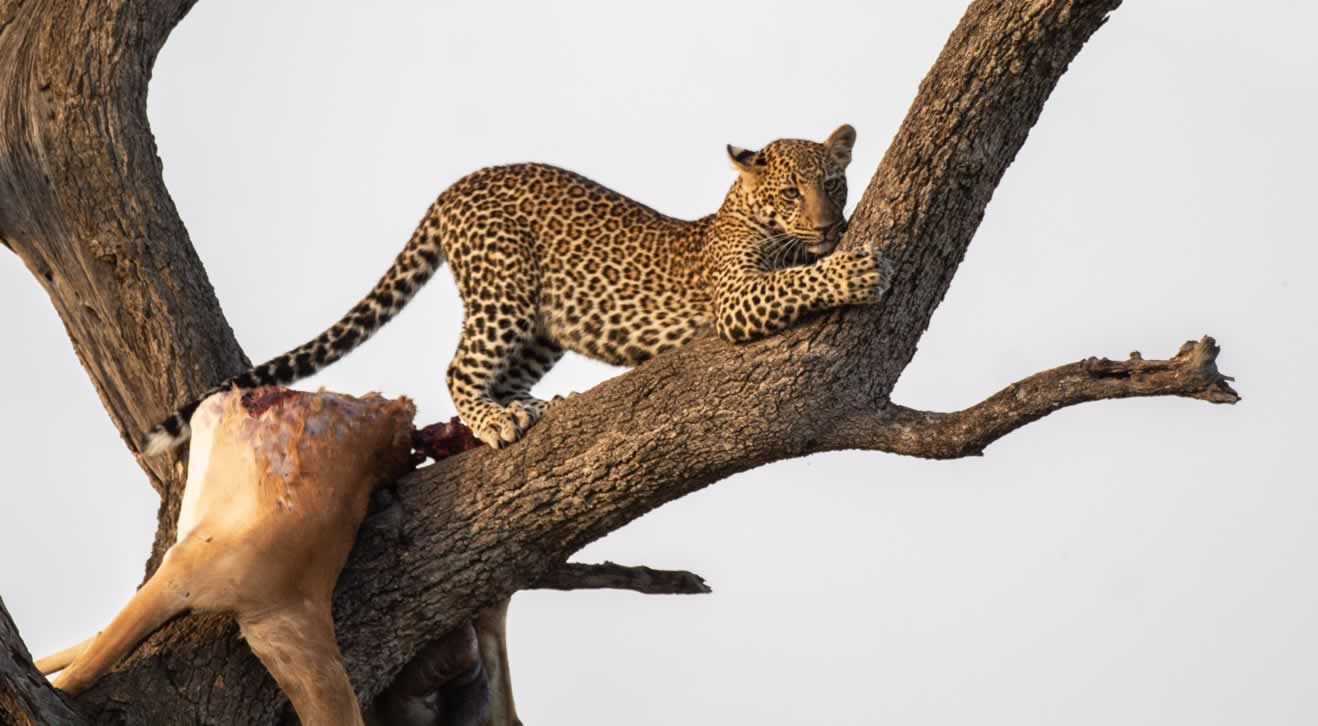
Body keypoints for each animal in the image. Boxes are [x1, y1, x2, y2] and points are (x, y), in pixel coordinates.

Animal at [146, 125, 896, 453]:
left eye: (835, 184)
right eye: (792, 192)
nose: (830, 225)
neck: (742, 212)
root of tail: (457, 185)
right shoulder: (736, 296)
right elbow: (795, 279)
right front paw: (856, 270)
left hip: (542, 324)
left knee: (503, 371)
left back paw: (536, 403)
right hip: (502, 287)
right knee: (458, 369)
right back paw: (497, 420)